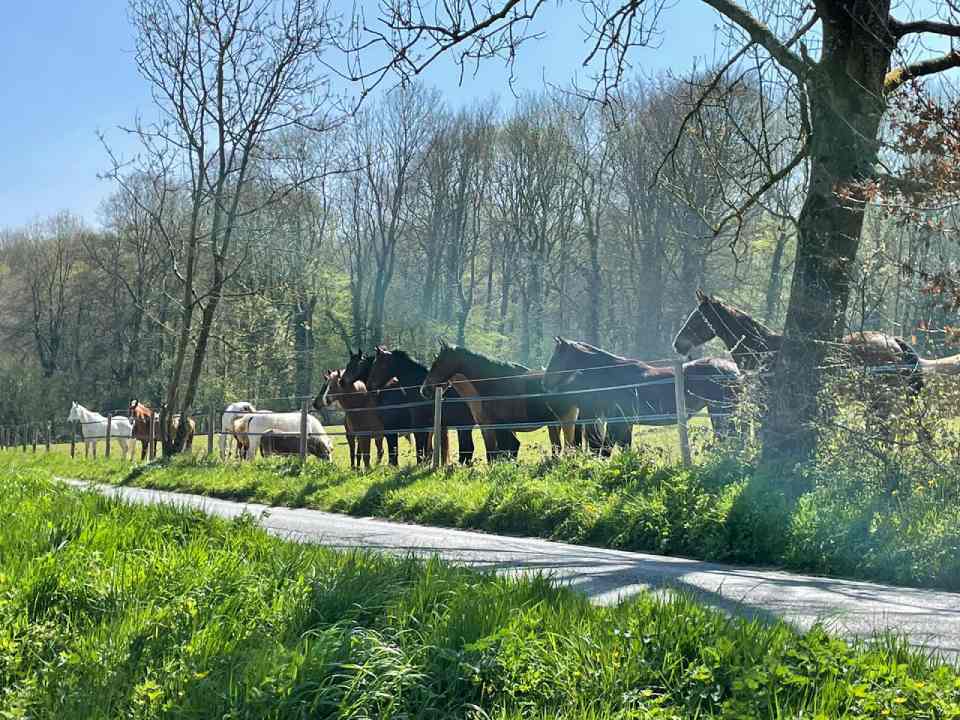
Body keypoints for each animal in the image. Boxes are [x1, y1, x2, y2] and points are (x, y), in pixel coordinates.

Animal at [416, 340, 572, 458]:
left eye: (438, 362)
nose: (424, 390)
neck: (492, 384)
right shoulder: (487, 427)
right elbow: (493, 452)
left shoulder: (500, 427)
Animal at [540, 334, 744, 448]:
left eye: (556, 357)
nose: (545, 383)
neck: (613, 375)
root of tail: (734, 369)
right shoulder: (625, 423)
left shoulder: (618, 422)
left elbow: (607, 449)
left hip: (721, 412)